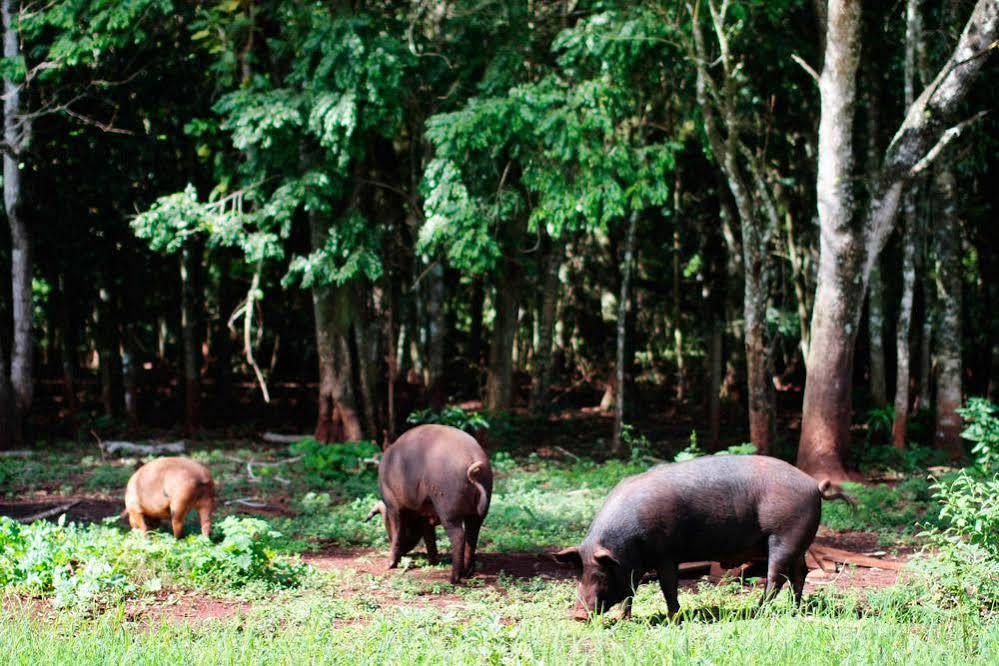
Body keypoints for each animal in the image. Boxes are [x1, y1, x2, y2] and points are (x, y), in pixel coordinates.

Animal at [556, 454, 844, 620]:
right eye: (580, 573)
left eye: (600, 574)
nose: (578, 615)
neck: (626, 545)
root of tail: (813, 485)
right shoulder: (634, 564)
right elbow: (630, 590)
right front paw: (624, 620)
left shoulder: (665, 554)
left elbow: (668, 585)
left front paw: (673, 619)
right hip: (798, 543)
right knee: (800, 573)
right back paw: (795, 610)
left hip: (784, 537)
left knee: (777, 577)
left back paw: (757, 611)